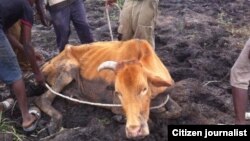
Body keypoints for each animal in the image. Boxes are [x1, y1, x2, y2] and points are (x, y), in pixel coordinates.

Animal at [34, 38, 181, 139]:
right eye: (118, 92)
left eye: (144, 89)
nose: (133, 130)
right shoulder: (115, 105)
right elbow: (151, 120)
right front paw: (121, 119)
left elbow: (176, 111)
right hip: (69, 69)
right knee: (42, 99)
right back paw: (55, 123)